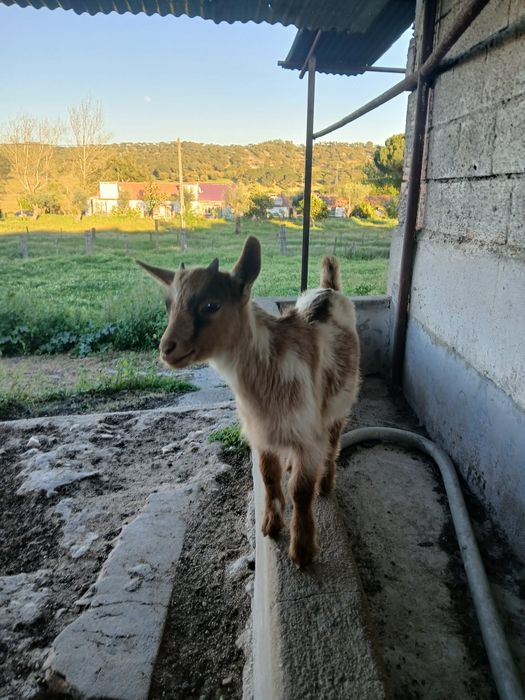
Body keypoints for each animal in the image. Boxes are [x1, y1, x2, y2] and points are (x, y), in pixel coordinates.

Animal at [137, 236, 360, 568]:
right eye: (168, 305)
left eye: (212, 305)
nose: (167, 349)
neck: (269, 367)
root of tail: (329, 288)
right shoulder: (261, 432)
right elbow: (268, 479)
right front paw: (270, 525)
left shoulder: (308, 435)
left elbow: (300, 492)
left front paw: (303, 551)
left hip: (340, 402)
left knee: (333, 441)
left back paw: (325, 483)